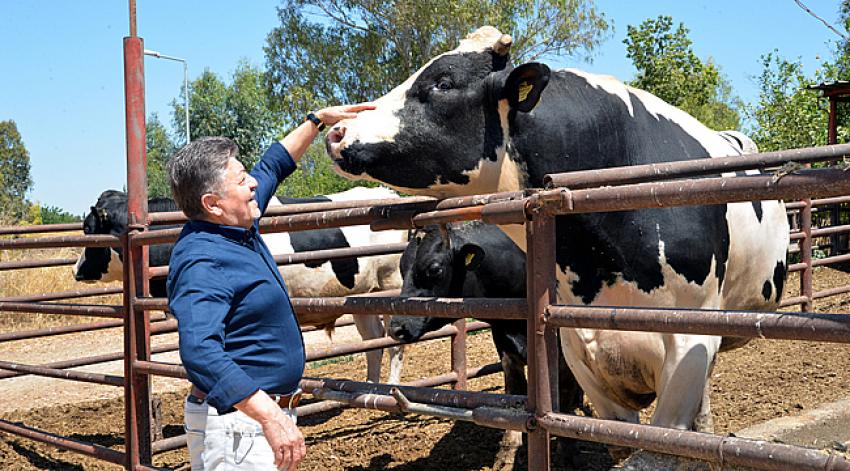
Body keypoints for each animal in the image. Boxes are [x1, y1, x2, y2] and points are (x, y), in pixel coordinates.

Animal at [74, 186, 406, 386]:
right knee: (373, 343)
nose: (76, 269)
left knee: (394, 344)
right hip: (361, 296)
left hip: (391, 286)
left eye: (89, 230)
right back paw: (369, 389)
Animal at [390, 222, 584, 471]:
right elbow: (515, 396)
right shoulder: (506, 348)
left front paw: (569, 453)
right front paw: (506, 456)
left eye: (434, 269)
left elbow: (565, 398)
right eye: (401, 267)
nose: (397, 327)